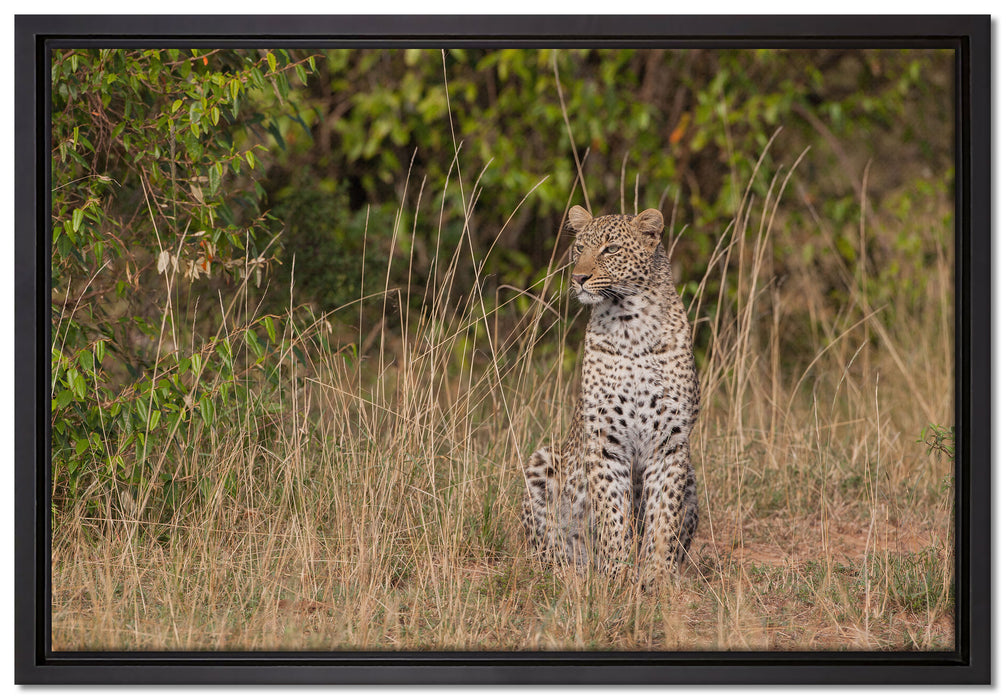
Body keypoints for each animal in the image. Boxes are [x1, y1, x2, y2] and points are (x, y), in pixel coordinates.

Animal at [521, 205, 699, 582]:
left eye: (611, 249)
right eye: (579, 248)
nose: (578, 277)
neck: (631, 325)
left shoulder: (670, 442)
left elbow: (664, 516)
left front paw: (657, 577)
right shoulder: (604, 441)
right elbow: (611, 512)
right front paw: (618, 575)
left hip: (691, 474)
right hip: (542, 461)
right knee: (548, 546)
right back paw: (570, 572)